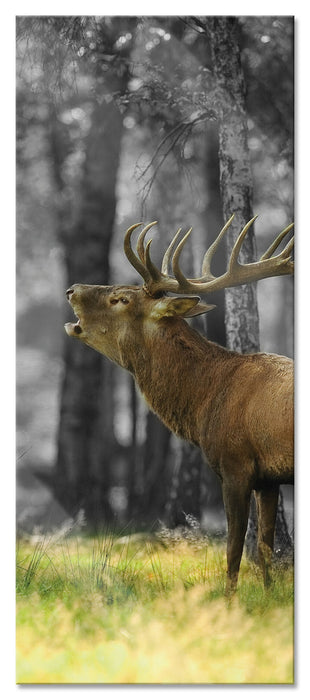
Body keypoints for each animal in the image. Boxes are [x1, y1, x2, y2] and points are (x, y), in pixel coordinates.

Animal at [65, 216, 294, 592]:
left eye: (120, 298)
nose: (71, 290)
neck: (205, 401)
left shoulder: (235, 463)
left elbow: (233, 548)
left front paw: (229, 601)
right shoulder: (268, 477)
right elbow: (264, 546)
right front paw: (269, 595)